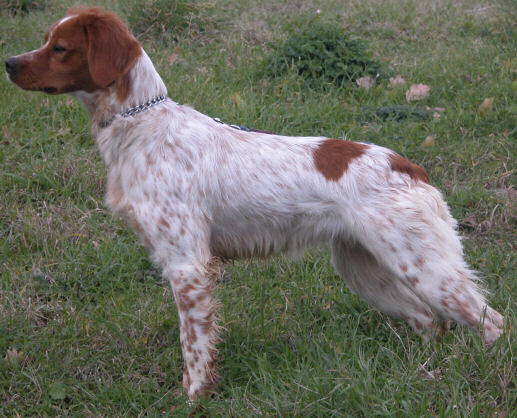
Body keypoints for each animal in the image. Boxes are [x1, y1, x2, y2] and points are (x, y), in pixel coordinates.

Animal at [5, 6, 504, 398]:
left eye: (60, 48)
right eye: (46, 40)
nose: (8, 62)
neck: (143, 126)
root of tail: (410, 167)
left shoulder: (187, 265)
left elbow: (195, 347)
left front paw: (194, 399)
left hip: (424, 268)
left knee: (492, 323)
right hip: (365, 270)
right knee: (428, 321)